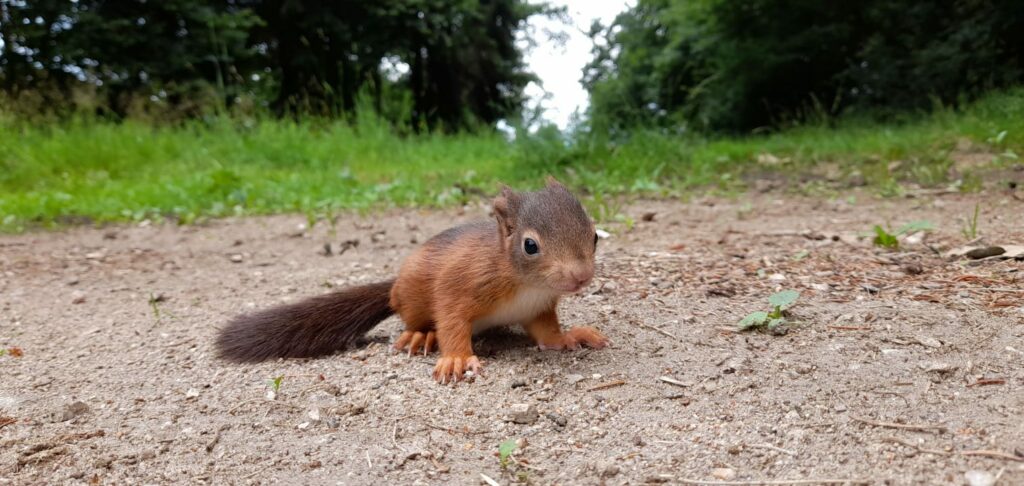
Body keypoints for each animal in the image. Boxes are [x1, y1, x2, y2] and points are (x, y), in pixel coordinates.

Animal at [214, 177, 608, 383]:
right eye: (530, 245)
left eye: (594, 236)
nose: (581, 276)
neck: (527, 285)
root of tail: (394, 287)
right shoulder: (461, 284)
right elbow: (452, 320)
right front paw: (456, 358)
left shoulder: (538, 308)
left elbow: (547, 334)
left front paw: (570, 336)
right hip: (414, 297)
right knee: (415, 320)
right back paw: (421, 335)